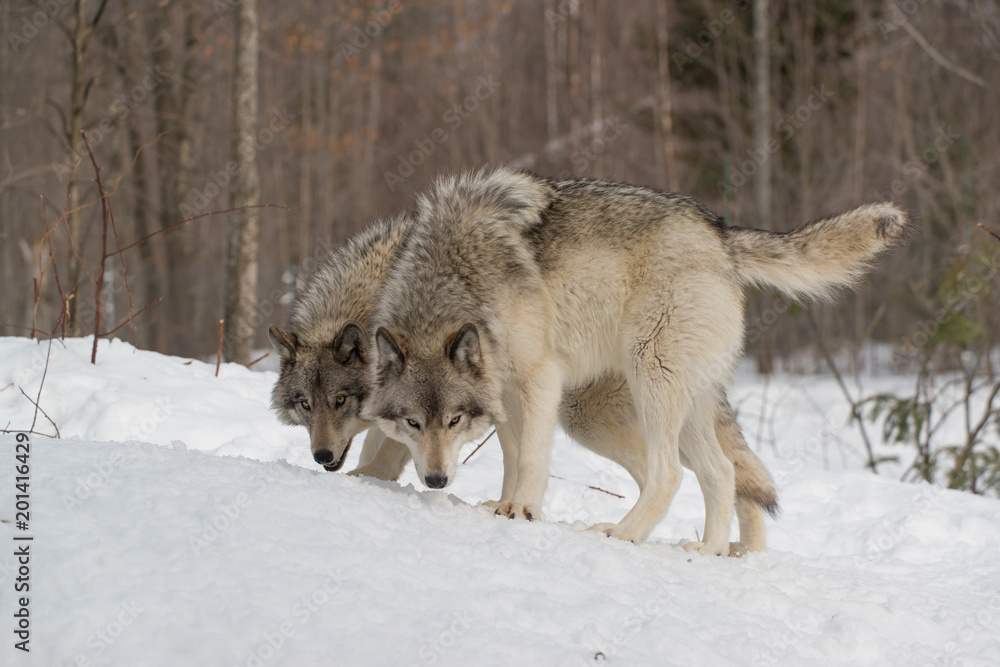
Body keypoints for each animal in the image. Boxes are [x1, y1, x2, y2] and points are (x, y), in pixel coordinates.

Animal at [362, 166, 909, 555]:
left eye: (453, 421)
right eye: (412, 423)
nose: (435, 481)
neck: (458, 279)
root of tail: (721, 233)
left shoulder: (539, 379)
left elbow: (533, 458)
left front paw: (524, 511)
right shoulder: (506, 394)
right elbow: (513, 457)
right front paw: (504, 505)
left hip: (651, 380)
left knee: (670, 474)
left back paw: (624, 534)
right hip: (675, 403)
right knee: (721, 473)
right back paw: (708, 551)